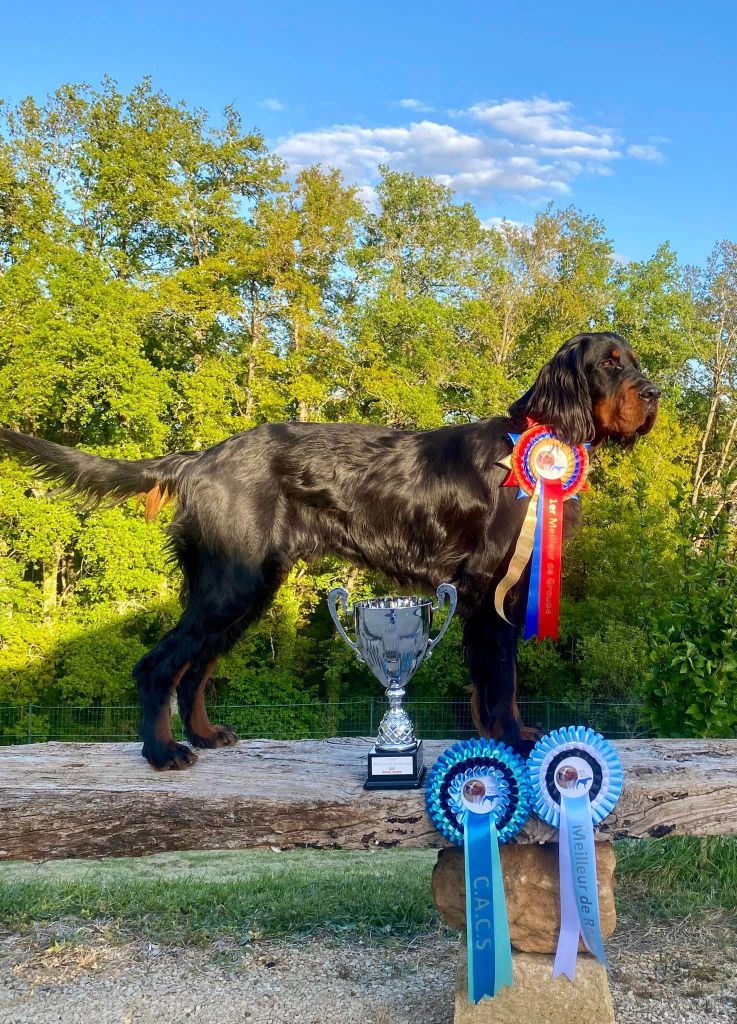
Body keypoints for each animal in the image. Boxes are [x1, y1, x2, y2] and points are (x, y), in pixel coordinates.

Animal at [0, 333, 655, 770]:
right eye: (608, 363)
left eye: (634, 361)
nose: (652, 394)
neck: (534, 443)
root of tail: (199, 460)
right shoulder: (486, 589)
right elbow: (501, 680)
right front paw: (516, 740)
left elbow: (490, 683)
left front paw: (500, 736)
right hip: (231, 585)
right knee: (160, 665)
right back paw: (163, 751)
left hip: (246, 586)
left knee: (197, 668)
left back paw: (206, 736)